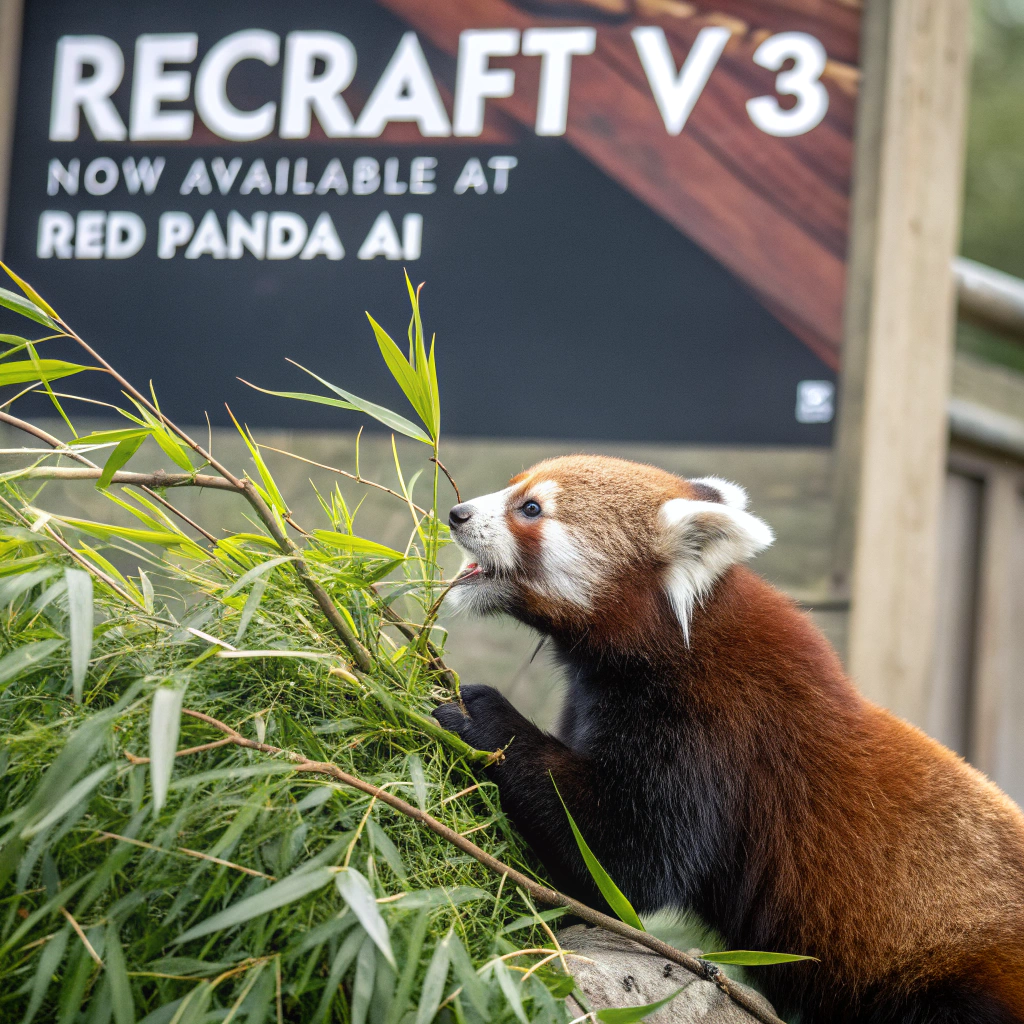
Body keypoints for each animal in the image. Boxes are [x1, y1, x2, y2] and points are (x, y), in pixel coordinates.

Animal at [432, 454, 1024, 1024]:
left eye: (530, 509)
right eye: (514, 487)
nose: (457, 514)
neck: (667, 635)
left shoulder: (713, 727)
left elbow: (625, 857)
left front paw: (483, 713)